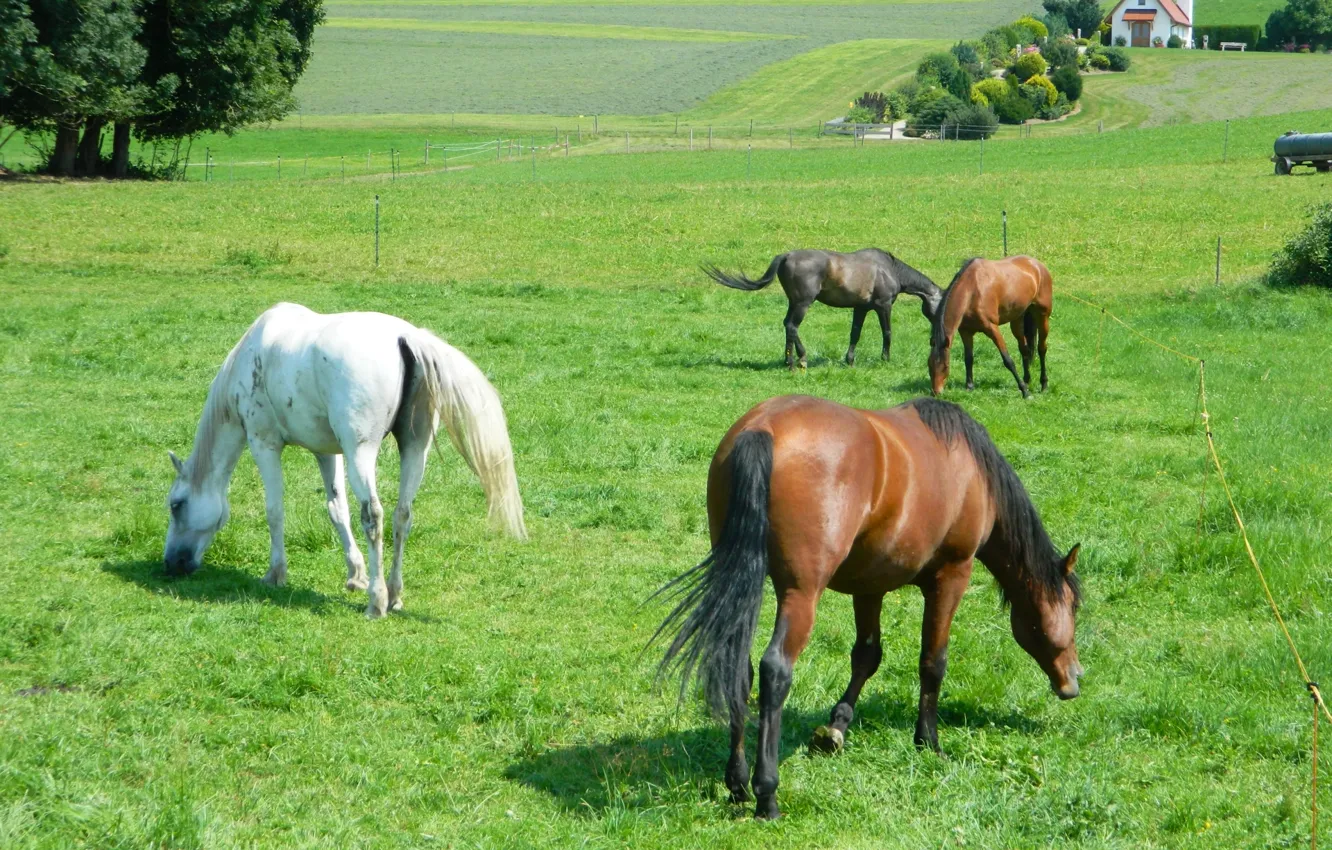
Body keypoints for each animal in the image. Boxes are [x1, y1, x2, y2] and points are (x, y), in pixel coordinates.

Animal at [162, 305, 524, 618]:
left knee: (374, 515)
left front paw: (276, 573)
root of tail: (406, 337)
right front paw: (356, 573)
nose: (171, 564)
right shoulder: (326, 451)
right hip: (413, 449)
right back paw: (394, 593)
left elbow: (275, 511)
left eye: (176, 505)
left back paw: (377, 602)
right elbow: (337, 510)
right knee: (402, 514)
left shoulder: (264, 444)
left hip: (360, 453)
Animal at [655, 397, 1081, 820]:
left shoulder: (870, 585)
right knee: (775, 670)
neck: (973, 470)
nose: (1074, 679)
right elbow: (933, 661)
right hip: (801, 594)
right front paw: (929, 741)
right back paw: (767, 795)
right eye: (1074, 608)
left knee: (739, 668)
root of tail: (763, 427)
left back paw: (738, 783)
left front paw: (836, 728)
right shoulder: (951, 576)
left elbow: (866, 656)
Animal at [703, 247, 943, 370]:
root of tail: (787, 255)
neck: (890, 269)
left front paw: (850, 360)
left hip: (794, 302)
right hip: (803, 303)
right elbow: (887, 332)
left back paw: (788, 361)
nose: (936, 338)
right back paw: (801, 359)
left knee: (787, 326)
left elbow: (855, 334)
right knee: (792, 326)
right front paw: (885, 359)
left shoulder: (861, 308)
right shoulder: (883, 306)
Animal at [932, 255, 1054, 399]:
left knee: (1042, 349)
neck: (971, 291)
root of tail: (1037, 265)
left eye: (945, 366)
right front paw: (969, 387)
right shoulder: (965, 332)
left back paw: (1043, 385)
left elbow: (1008, 360)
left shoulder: (992, 329)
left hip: (1043, 316)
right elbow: (968, 358)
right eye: (929, 364)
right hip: (1017, 319)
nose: (936, 392)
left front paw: (1025, 392)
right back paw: (1026, 380)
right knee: (1024, 349)